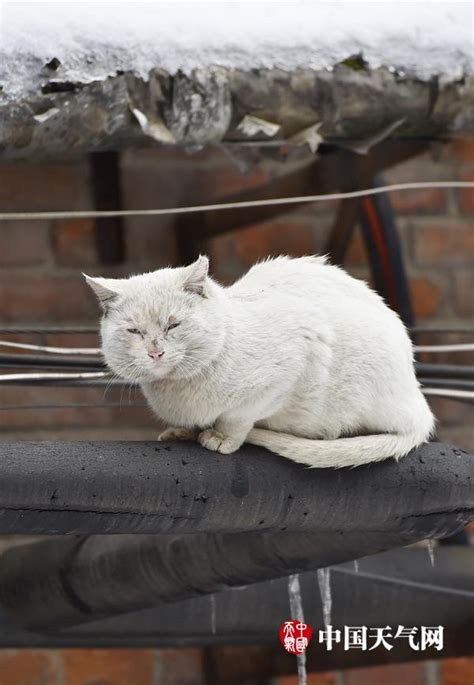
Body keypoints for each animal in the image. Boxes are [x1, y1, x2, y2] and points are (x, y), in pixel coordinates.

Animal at [85, 254, 434, 468]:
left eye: (173, 325)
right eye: (135, 330)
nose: (155, 352)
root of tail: (419, 406)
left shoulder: (294, 360)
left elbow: (239, 417)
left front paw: (221, 438)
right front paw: (183, 431)